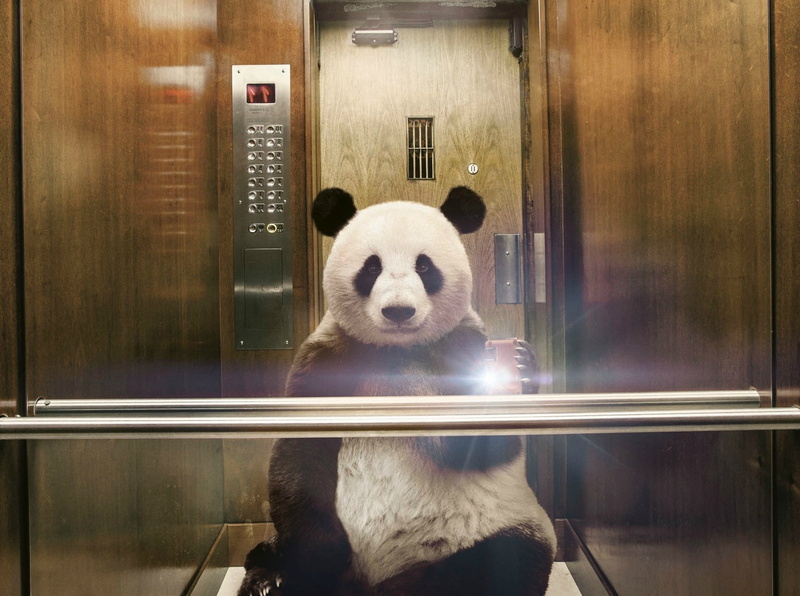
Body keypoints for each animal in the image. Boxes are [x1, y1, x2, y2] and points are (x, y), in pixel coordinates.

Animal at [238, 186, 556, 596]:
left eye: (425, 267)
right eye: (372, 267)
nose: (399, 311)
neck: (395, 352)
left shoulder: (459, 345)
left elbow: (485, 449)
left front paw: (520, 363)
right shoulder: (329, 359)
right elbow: (299, 452)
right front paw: (313, 562)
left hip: (495, 528)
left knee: (504, 562)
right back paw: (270, 579)